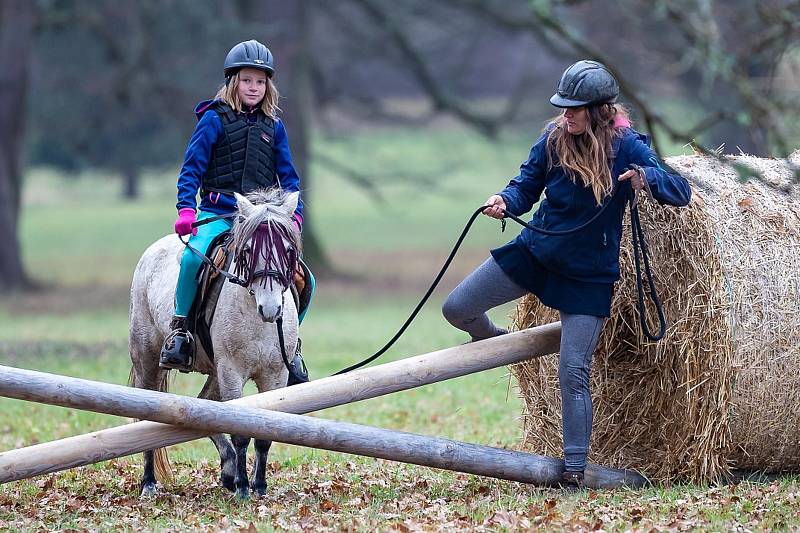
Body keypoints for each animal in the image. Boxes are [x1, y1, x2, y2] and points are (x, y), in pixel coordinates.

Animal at [126, 188, 302, 498]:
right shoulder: (231, 371)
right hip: (147, 358)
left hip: (215, 373)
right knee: (149, 414)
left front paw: (259, 486)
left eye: (289, 251)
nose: (270, 309)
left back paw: (228, 468)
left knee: (204, 405)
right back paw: (149, 483)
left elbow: (264, 434)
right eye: (247, 251)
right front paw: (244, 488)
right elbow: (240, 429)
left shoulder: (276, 375)